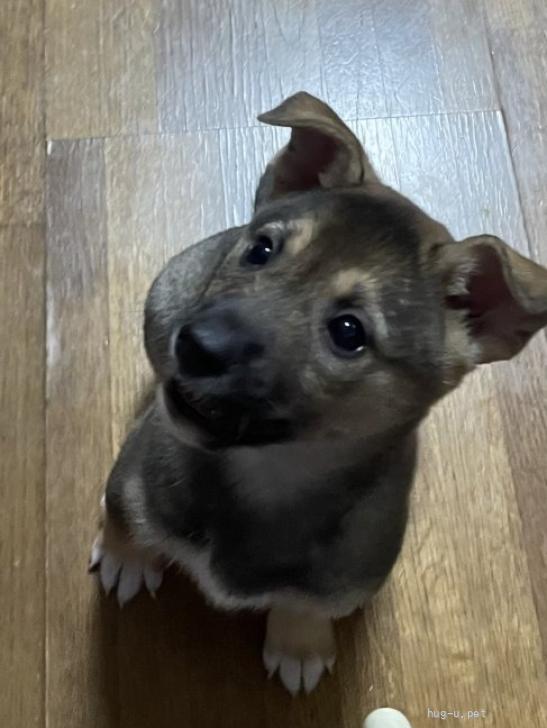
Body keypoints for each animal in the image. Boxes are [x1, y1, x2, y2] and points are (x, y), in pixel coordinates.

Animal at [90, 92, 547, 695]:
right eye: (261, 250)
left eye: (349, 332)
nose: (196, 346)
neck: (270, 477)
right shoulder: (135, 476)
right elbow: (124, 510)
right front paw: (126, 553)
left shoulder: (351, 573)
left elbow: (307, 604)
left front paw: (298, 642)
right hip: (165, 296)